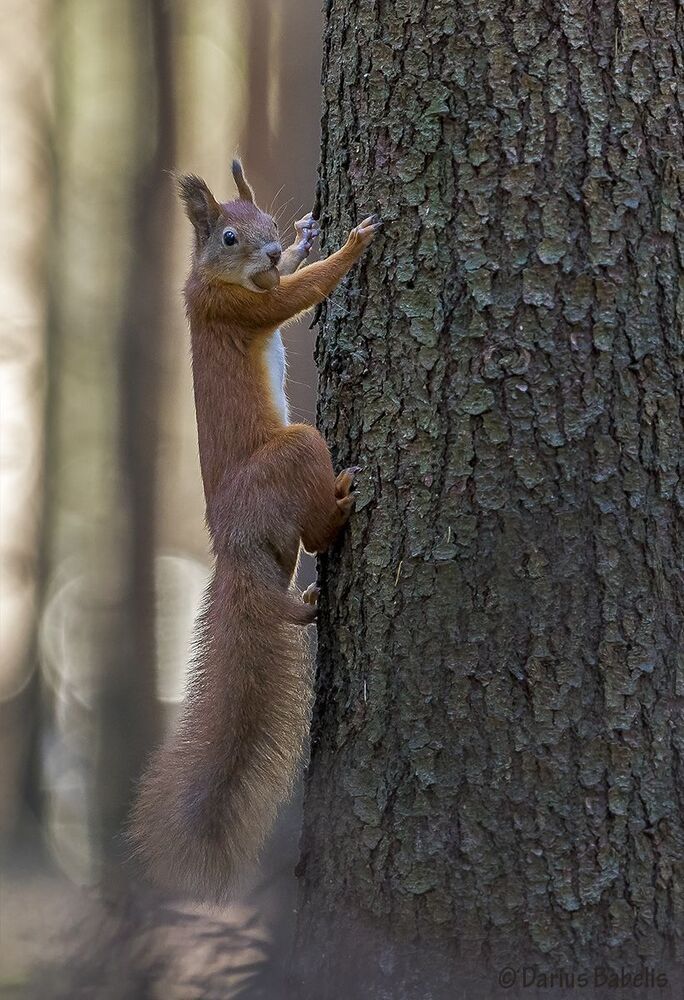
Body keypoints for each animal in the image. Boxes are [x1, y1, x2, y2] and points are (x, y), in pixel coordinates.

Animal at [128, 160, 380, 901]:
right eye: (229, 236)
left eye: (266, 219)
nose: (269, 248)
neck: (212, 278)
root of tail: (229, 546)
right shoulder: (238, 307)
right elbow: (297, 293)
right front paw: (351, 245)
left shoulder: (256, 289)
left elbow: (287, 280)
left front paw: (307, 236)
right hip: (292, 454)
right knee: (320, 533)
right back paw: (344, 499)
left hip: (277, 547)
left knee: (287, 580)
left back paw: (302, 603)